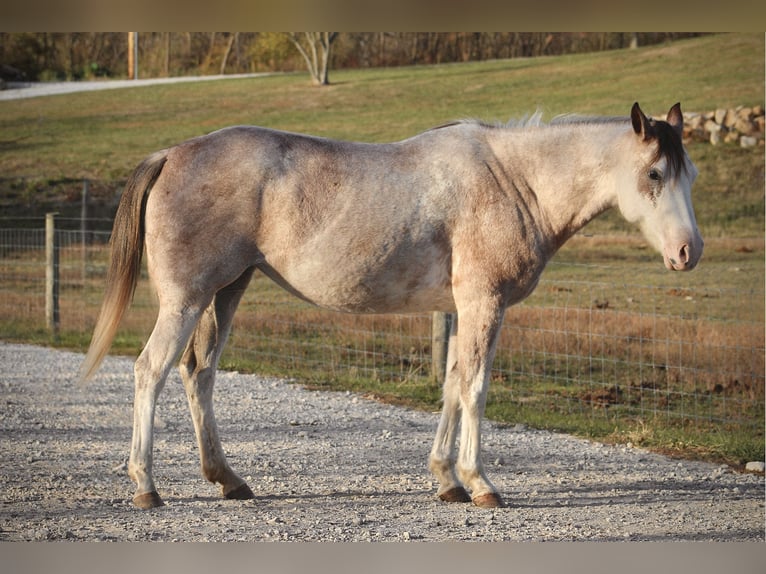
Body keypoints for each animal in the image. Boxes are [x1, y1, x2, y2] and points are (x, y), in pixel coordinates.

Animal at [81, 102, 704, 508]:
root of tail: (173, 153)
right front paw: (480, 483)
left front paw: (447, 480)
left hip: (226, 292)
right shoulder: (484, 303)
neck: (513, 181)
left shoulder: (464, 309)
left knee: (199, 373)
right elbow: (476, 388)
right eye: (654, 173)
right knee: (150, 371)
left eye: (689, 174)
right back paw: (146, 487)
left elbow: (452, 384)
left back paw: (227, 478)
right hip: (185, 301)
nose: (688, 251)